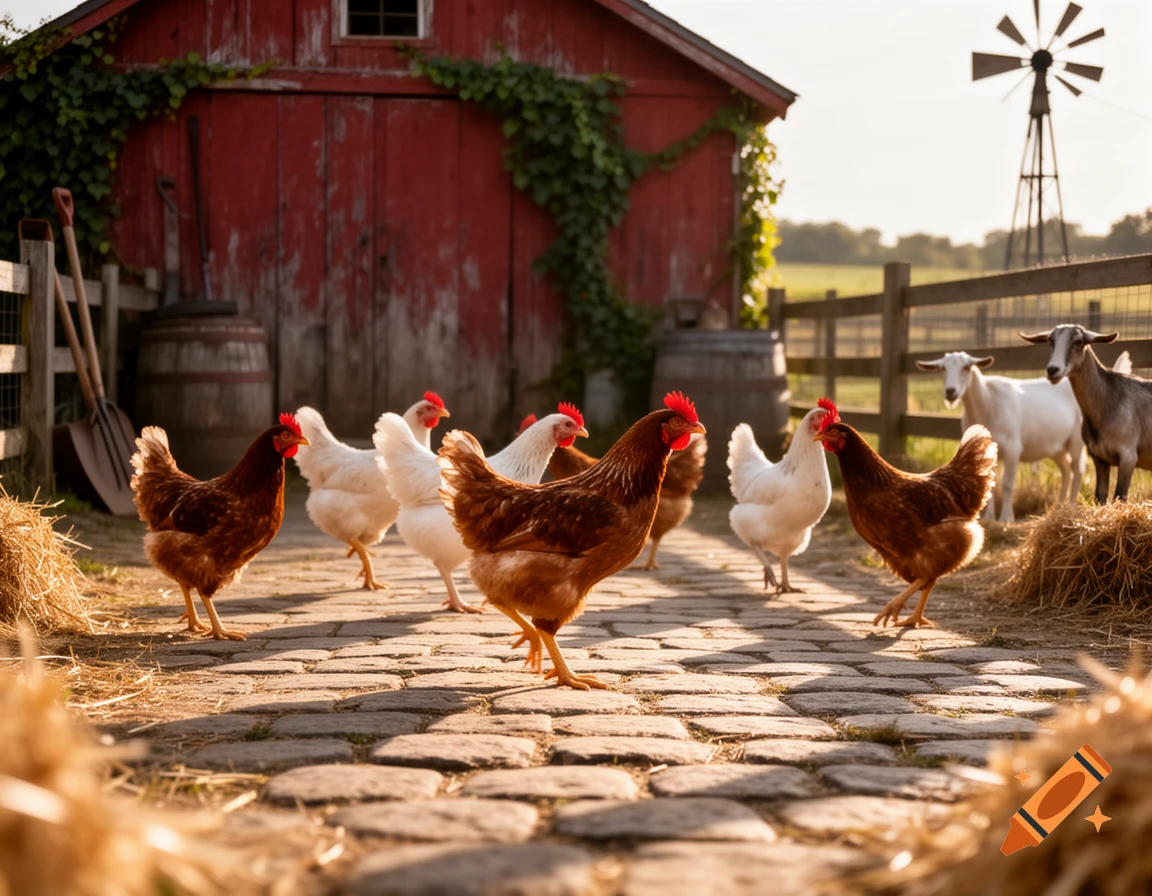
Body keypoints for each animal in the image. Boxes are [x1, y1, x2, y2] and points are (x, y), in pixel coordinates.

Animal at [916, 352, 1084, 522]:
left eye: (967, 367)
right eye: (943, 368)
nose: (951, 391)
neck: (988, 403)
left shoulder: (1013, 448)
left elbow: (1007, 484)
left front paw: (1006, 518)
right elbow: (990, 482)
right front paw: (990, 517)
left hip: (1077, 440)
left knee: (1077, 471)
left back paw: (1071, 506)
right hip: (1057, 448)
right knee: (1066, 471)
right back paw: (1060, 506)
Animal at [1022, 324, 1151, 502]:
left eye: (1078, 342)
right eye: (1051, 341)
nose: (1053, 370)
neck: (1109, 399)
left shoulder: (1128, 456)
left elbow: (1120, 496)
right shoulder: (1099, 458)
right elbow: (1100, 495)